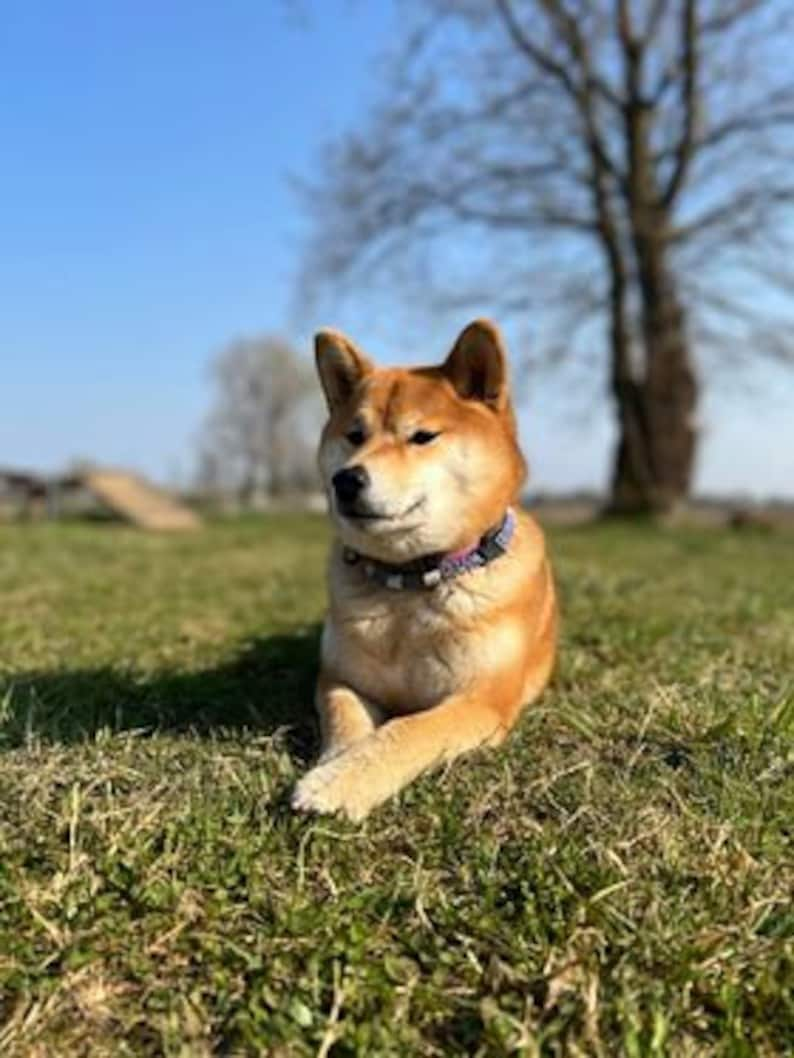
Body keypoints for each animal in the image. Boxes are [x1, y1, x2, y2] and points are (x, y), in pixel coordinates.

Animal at [292, 317, 558, 821]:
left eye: (422, 437)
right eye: (354, 435)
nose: (346, 479)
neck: (408, 582)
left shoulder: (479, 699)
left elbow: (407, 731)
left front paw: (340, 783)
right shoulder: (339, 677)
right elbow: (346, 720)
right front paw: (337, 765)